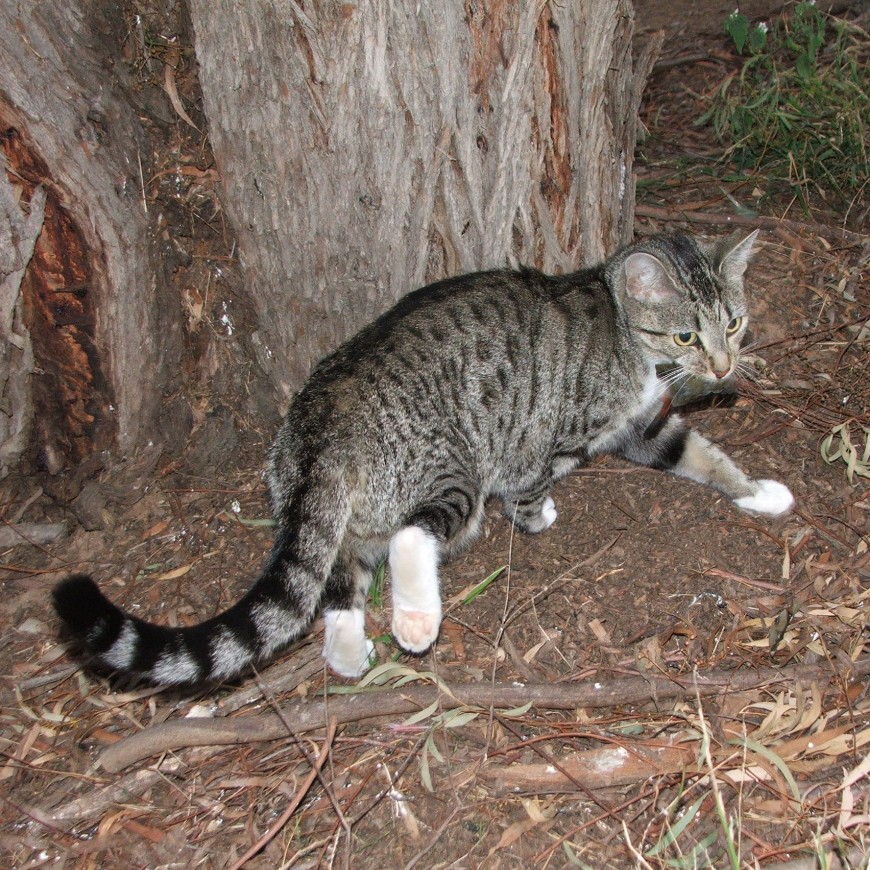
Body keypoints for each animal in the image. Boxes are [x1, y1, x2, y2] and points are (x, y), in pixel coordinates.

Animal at [51, 232, 792, 688]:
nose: (723, 364)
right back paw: (415, 619)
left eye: (733, 323)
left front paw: (760, 491)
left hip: (334, 511)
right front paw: (541, 515)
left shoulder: (644, 426)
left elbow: (702, 455)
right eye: (687, 334)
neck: (623, 331)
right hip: (449, 468)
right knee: (414, 535)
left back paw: (350, 652)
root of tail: (323, 416)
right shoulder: (554, 437)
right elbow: (532, 484)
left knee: (334, 579)